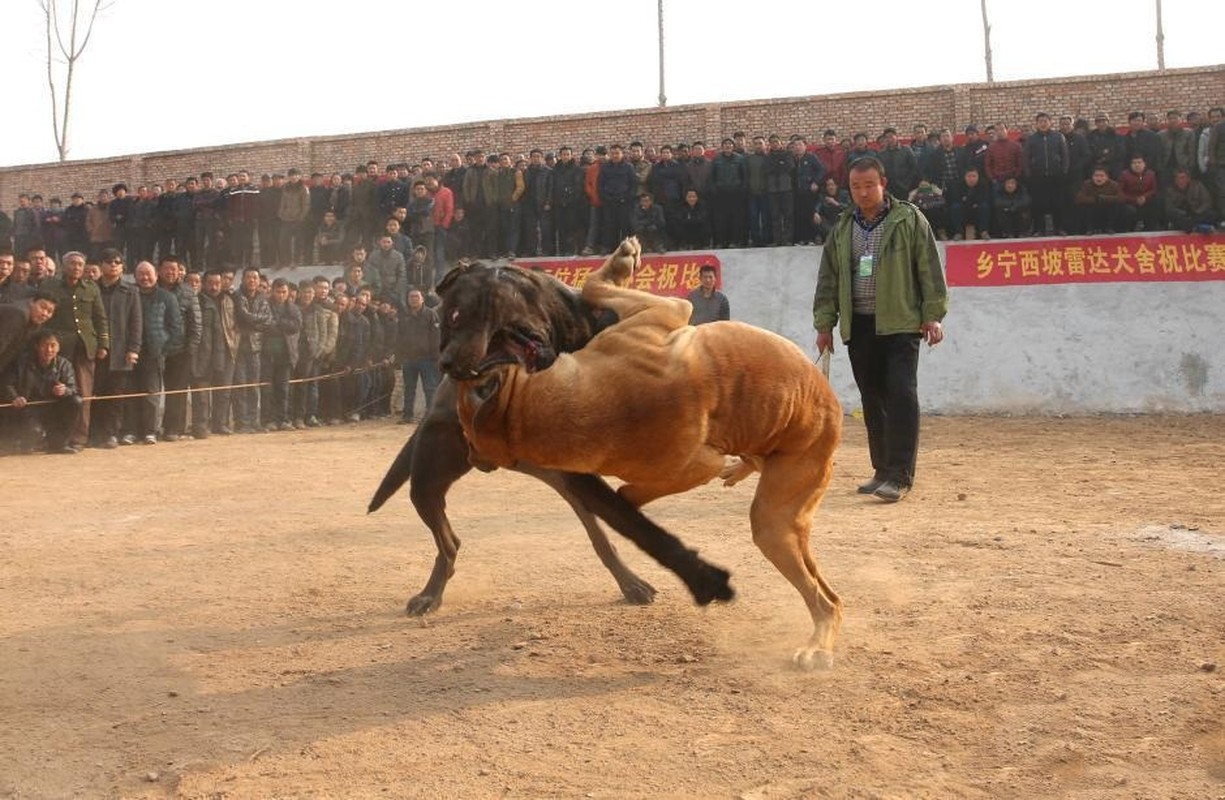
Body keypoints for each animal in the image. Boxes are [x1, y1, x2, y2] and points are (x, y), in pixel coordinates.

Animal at [455, 238, 847, 666]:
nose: (456, 365)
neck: (527, 414)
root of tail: (832, 408)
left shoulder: (662, 316)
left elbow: (593, 285)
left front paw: (620, 263)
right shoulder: (688, 459)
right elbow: (631, 493)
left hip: (782, 511)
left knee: (824, 595)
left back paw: (818, 642)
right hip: (777, 525)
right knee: (827, 596)